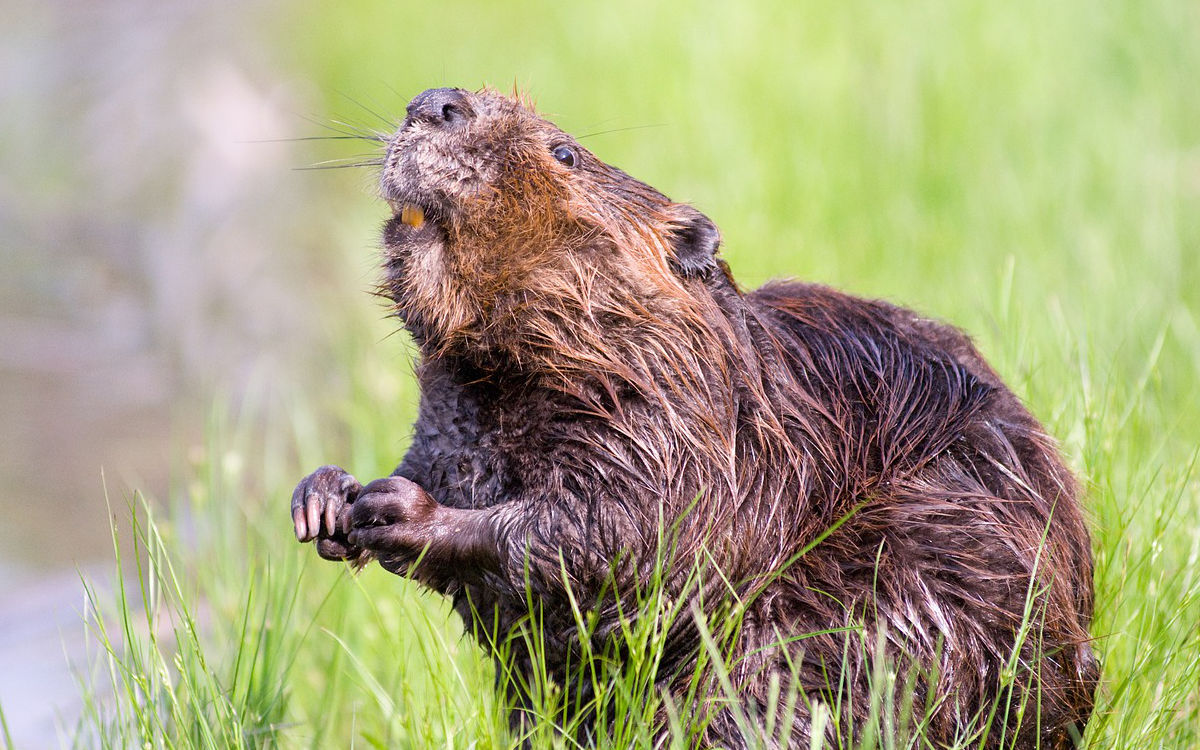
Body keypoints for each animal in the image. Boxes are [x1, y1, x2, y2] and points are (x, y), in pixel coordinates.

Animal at [290, 89, 1099, 748]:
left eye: (565, 152)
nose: (436, 102)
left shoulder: (685, 426)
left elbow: (626, 533)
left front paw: (399, 510)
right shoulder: (455, 416)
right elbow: (444, 466)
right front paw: (325, 497)